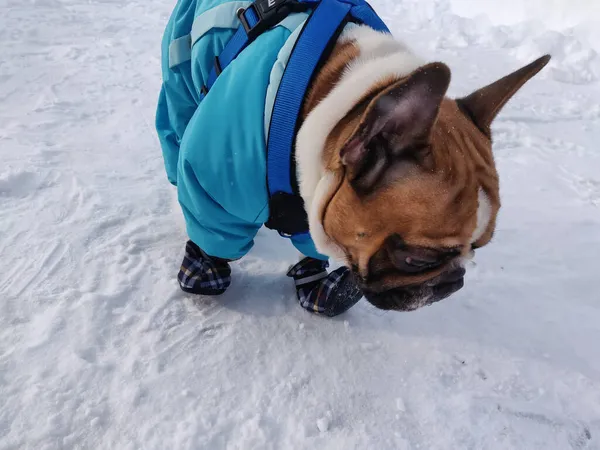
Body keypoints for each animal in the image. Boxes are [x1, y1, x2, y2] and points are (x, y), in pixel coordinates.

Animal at [157, 0, 552, 314]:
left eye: (477, 249)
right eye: (417, 259)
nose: (454, 282)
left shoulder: (315, 196)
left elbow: (310, 243)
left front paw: (318, 285)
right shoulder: (217, 181)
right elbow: (214, 227)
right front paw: (205, 271)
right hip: (179, 80)